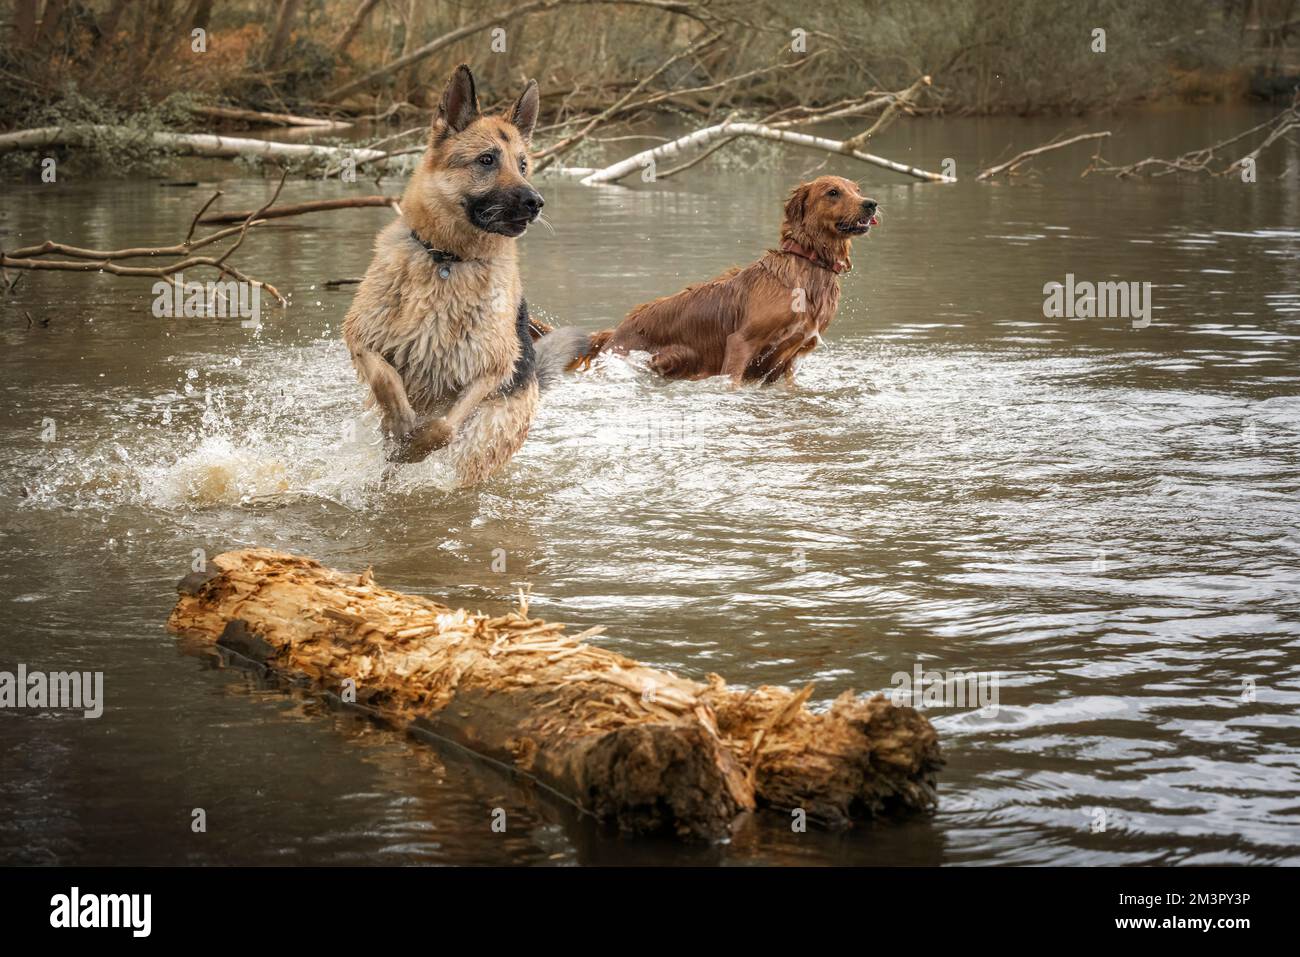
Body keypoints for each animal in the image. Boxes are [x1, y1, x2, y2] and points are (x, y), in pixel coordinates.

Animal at [345, 61, 590, 486]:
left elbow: (444, 427)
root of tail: (534, 378)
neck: (448, 259)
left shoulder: (489, 369)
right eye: (487, 160)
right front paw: (400, 422)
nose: (536, 201)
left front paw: (416, 443)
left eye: (522, 164)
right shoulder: (361, 338)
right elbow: (386, 379)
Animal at [585, 175, 878, 384]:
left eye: (857, 190)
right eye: (833, 192)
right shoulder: (740, 342)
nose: (871, 203)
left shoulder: (789, 360)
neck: (807, 263)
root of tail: (615, 331)